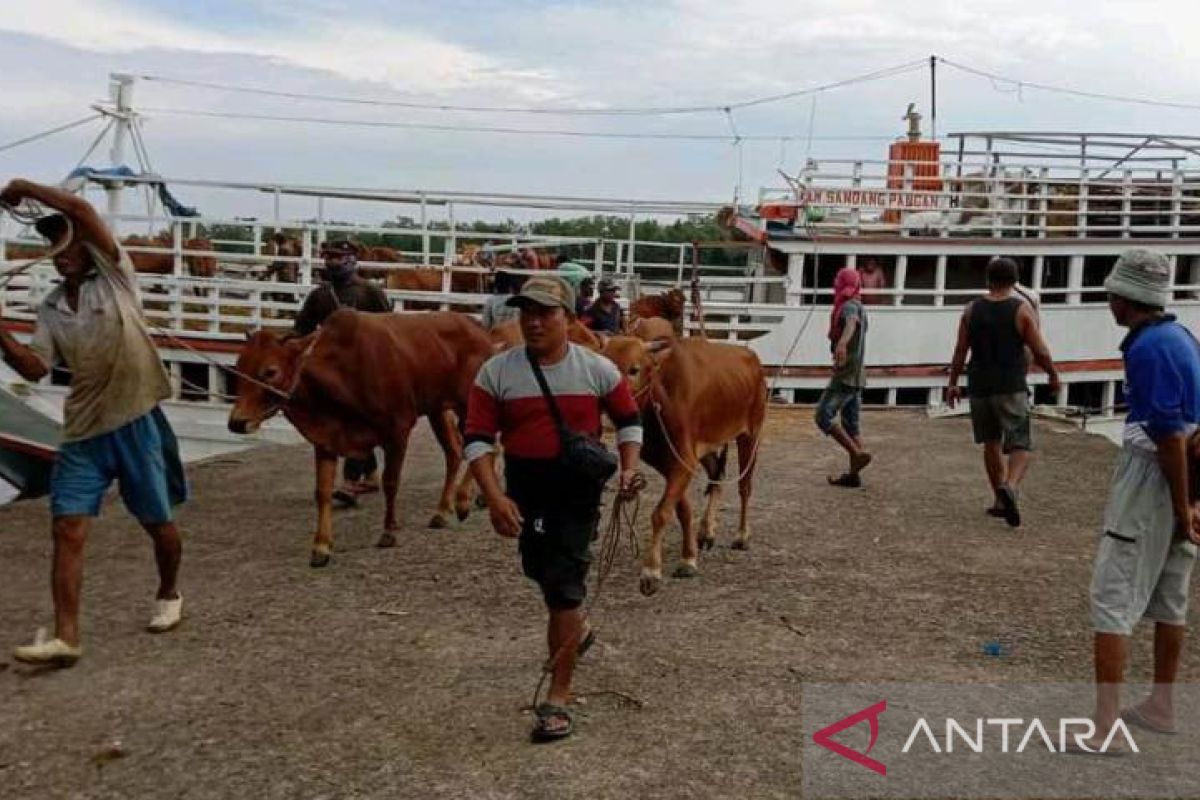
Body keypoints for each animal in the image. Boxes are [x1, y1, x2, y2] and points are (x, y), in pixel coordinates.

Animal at [226, 309, 494, 568]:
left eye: (270, 371)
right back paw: (442, 511)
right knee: (454, 451)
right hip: (438, 410)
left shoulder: (398, 430)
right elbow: (322, 492)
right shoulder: (326, 439)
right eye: (239, 367)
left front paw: (389, 531)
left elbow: (390, 482)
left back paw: (463, 501)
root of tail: (480, 330)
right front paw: (321, 546)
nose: (236, 422)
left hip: (468, 405)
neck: (343, 371)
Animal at [604, 333, 763, 594]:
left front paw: (651, 572)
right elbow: (683, 509)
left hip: (750, 435)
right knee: (717, 477)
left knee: (744, 487)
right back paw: (706, 531)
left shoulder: (684, 461)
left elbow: (661, 512)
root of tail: (751, 357)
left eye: (634, 369)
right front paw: (689, 557)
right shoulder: (668, 462)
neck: (661, 400)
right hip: (707, 448)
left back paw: (742, 535)